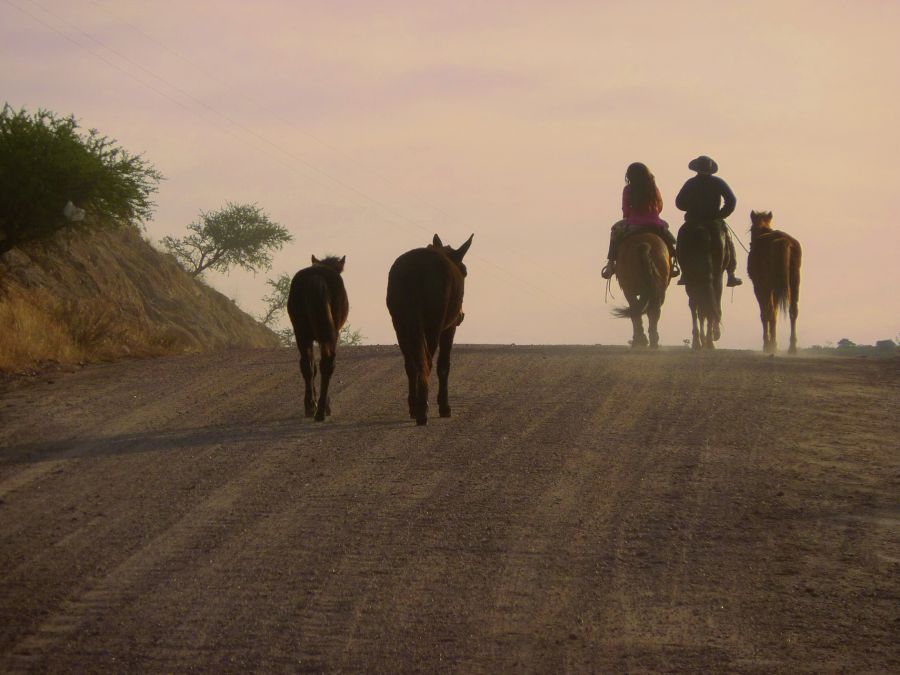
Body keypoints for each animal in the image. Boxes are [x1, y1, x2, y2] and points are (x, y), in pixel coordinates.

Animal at [286, 255, 350, 420]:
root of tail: (316, 277)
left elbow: (311, 367)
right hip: (328, 335)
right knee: (327, 365)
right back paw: (321, 409)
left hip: (302, 333)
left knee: (307, 366)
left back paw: (311, 407)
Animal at [384, 232, 474, 422]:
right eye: (465, 271)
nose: (461, 315)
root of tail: (414, 272)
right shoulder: (449, 327)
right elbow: (444, 365)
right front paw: (444, 406)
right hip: (433, 322)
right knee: (427, 361)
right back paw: (422, 409)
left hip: (399, 322)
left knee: (410, 363)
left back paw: (414, 406)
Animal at [676, 222, 732, 352]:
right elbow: (712, 307)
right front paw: (713, 334)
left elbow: (702, 309)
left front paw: (704, 339)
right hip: (715, 276)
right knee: (708, 304)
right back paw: (709, 341)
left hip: (691, 278)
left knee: (694, 305)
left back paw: (697, 341)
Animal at [744, 213, 800, 354]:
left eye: (751, 229)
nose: (751, 244)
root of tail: (783, 240)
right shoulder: (774, 289)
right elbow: (774, 314)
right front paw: (774, 343)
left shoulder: (760, 287)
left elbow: (765, 313)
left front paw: (769, 344)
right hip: (794, 283)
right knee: (793, 311)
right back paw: (792, 347)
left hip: (766, 286)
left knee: (768, 311)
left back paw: (768, 346)